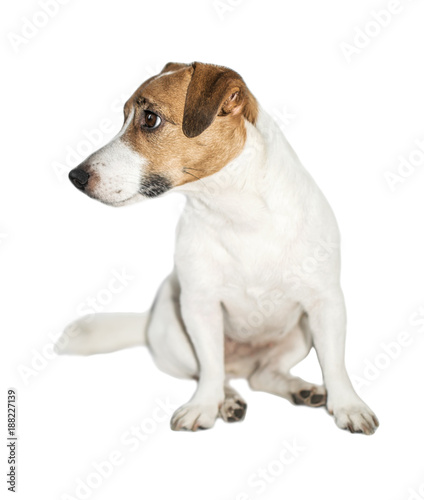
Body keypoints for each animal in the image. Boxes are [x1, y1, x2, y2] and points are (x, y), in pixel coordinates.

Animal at [58, 60, 380, 432]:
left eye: (150, 118)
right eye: (124, 117)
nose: (75, 177)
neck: (236, 212)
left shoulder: (326, 303)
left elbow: (335, 364)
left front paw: (348, 405)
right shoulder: (200, 307)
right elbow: (211, 368)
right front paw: (204, 406)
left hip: (299, 332)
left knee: (264, 374)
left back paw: (299, 388)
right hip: (176, 331)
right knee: (220, 374)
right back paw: (228, 400)